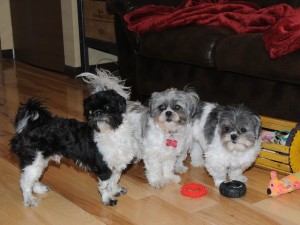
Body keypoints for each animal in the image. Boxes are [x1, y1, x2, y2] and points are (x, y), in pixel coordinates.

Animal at [10, 90, 138, 207]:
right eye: (90, 111)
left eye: (107, 106)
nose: (97, 113)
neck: (112, 133)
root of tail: (31, 127)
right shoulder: (103, 168)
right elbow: (105, 185)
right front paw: (108, 198)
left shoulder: (116, 164)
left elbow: (115, 180)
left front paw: (115, 190)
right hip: (34, 158)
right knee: (25, 181)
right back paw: (29, 199)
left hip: (40, 160)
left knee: (32, 178)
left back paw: (38, 189)